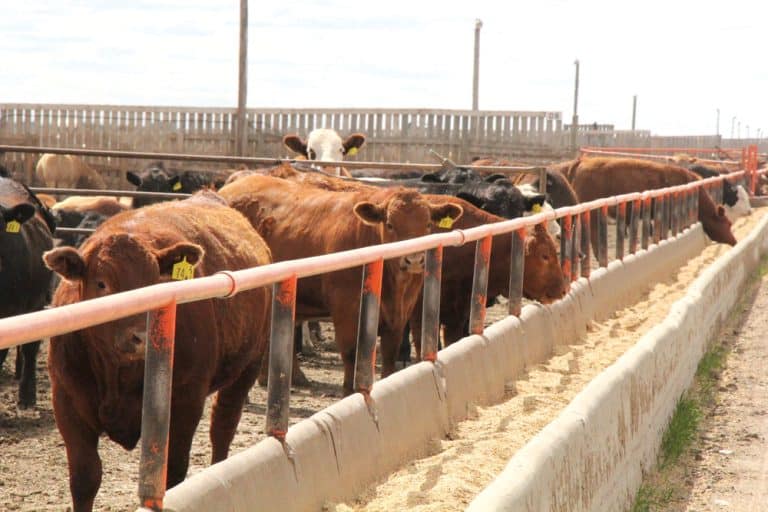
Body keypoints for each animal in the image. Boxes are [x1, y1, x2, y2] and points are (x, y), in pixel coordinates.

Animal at [43, 190, 272, 511]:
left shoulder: (186, 399)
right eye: (101, 284)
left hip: (249, 366)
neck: (116, 371)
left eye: (154, 283)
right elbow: (85, 477)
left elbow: (171, 471)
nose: (141, 335)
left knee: (223, 424)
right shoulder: (66, 399)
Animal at [218, 173, 463, 394]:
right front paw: (349, 393)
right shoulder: (346, 309)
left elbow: (390, 356)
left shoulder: (399, 316)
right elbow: (351, 354)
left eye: (428, 224)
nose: (414, 260)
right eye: (390, 224)